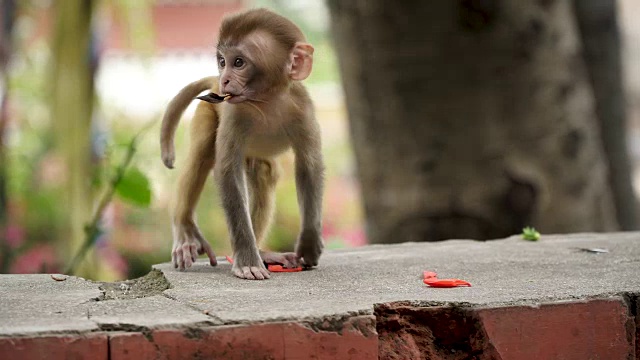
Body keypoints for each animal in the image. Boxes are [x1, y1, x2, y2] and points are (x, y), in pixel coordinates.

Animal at [158, 7, 322, 280]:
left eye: (238, 62)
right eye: (222, 61)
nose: (224, 79)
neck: (267, 102)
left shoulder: (304, 109)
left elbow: (309, 167)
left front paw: (309, 244)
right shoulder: (236, 114)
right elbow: (228, 173)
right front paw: (247, 261)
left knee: (264, 171)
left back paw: (264, 252)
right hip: (207, 111)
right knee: (202, 153)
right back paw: (185, 229)